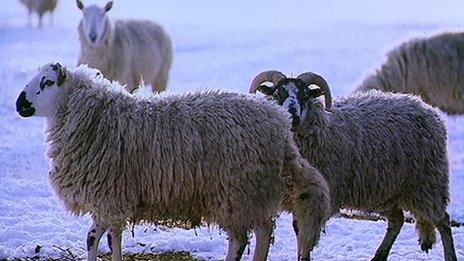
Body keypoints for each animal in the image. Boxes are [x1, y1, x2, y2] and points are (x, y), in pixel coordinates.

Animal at [14, 63, 332, 260]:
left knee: (243, 238)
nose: (19, 104)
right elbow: (112, 237)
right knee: (262, 231)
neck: (96, 117)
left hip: (237, 189)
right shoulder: (115, 197)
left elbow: (94, 237)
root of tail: (279, 124)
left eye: (47, 82)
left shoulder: (109, 195)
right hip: (250, 191)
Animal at [250, 70, 456, 258]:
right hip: (385, 188)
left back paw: (450, 255)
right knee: (397, 220)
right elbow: (298, 230)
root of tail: (425, 107)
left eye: (305, 95)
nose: (292, 117)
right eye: (278, 94)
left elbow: (305, 234)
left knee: (443, 222)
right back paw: (379, 256)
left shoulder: (314, 196)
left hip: (428, 182)